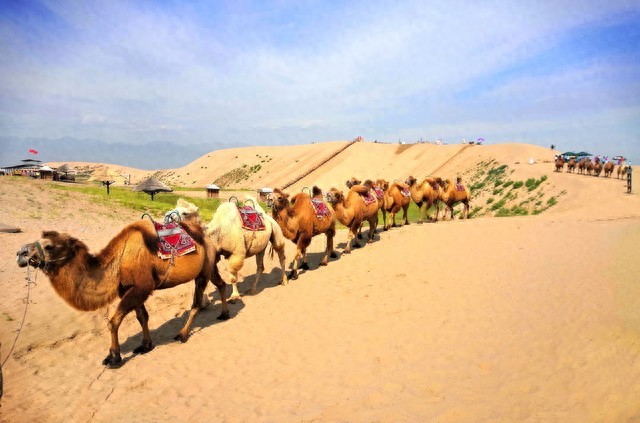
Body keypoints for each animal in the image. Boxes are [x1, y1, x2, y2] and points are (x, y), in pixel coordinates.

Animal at [15, 219, 231, 368]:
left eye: (49, 245)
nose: (21, 253)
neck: (119, 261)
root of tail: (209, 241)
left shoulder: (140, 288)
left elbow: (113, 321)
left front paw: (114, 357)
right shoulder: (131, 289)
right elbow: (142, 316)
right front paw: (145, 345)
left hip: (202, 273)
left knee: (196, 304)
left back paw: (183, 334)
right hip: (209, 266)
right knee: (221, 284)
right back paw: (224, 314)